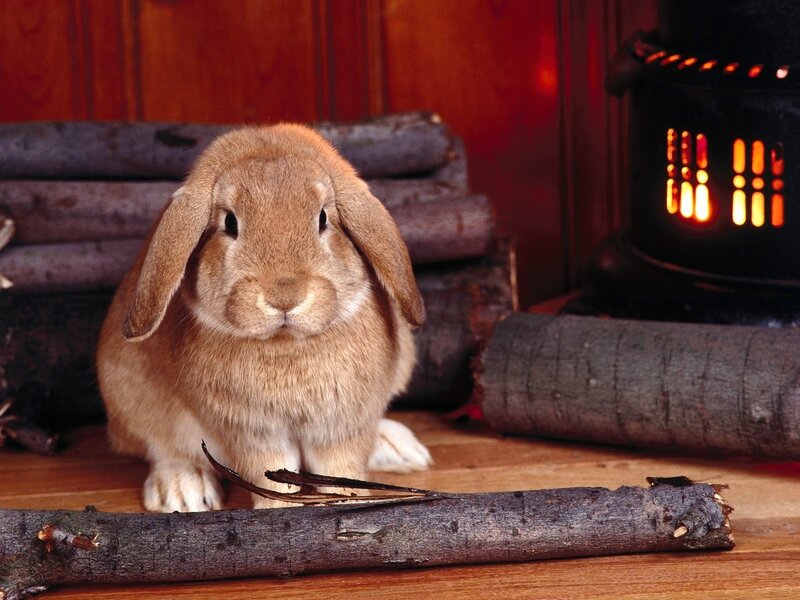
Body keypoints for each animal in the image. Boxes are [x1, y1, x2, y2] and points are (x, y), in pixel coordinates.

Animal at [97, 123, 432, 512]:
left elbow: (341, 468)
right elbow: (270, 474)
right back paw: (183, 491)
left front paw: (348, 503)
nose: (285, 296)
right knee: (162, 448)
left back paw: (399, 448)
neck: (286, 344)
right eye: (229, 222)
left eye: (323, 218)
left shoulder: (343, 425)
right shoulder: (252, 433)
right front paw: (278, 511)